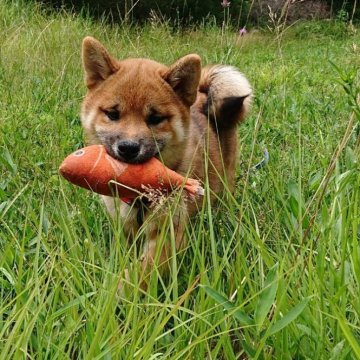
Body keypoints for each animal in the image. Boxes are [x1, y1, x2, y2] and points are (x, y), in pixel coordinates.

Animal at [80, 35, 252, 290]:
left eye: (155, 118)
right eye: (112, 114)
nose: (128, 148)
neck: (139, 196)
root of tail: (203, 97)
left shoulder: (168, 233)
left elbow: (140, 273)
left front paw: (119, 293)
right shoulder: (125, 228)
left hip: (223, 184)